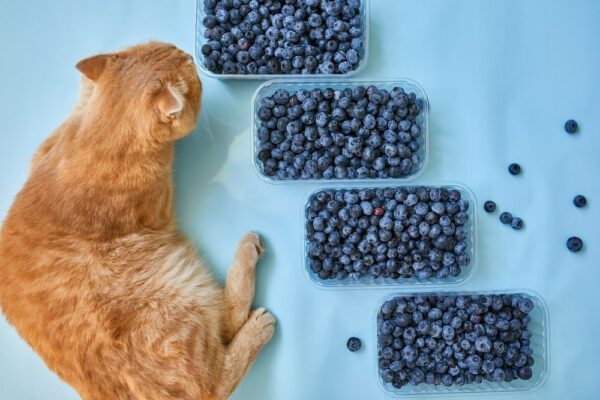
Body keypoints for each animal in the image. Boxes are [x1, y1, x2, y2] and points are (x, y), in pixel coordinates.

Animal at [0, 42, 276, 398]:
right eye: (188, 66)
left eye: (172, 49)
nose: (188, 52)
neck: (98, 139)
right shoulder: (160, 209)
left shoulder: (44, 151)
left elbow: (78, 108)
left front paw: (87, 82)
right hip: (180, 304)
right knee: (217, 374)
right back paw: (253, 294)